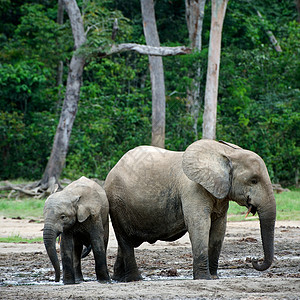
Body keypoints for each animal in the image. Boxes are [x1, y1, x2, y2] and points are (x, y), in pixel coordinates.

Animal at [105, 140, 276, 282]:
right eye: (254, 180)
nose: (254, 260)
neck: (225, 153)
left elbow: (219, 229)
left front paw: (214, 277)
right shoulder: (192, 188)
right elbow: (199, 225)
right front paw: (204, 279)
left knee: (125, 242)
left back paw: (119, 279)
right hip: (117, 202)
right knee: (125, 239)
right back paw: (135, 279)